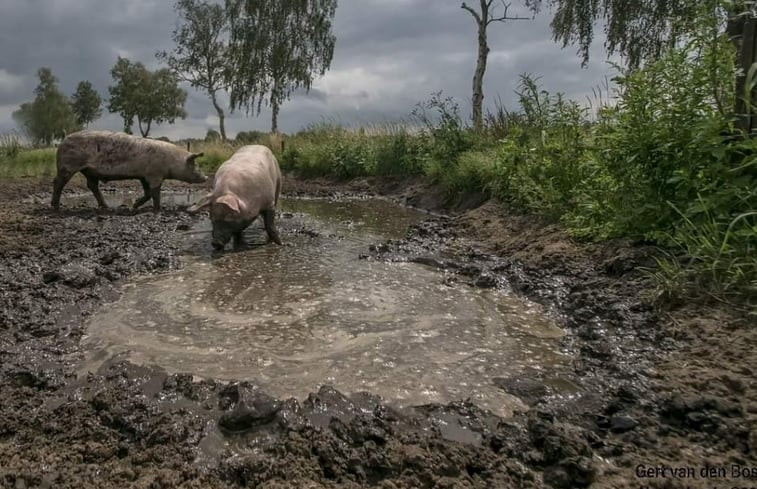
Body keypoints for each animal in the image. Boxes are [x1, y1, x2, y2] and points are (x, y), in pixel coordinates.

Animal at [51, 131, 207, 211]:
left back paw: (106, 207)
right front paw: (158, 209)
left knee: (92, 186)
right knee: (58, 182)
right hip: (68, 165)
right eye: (196, 164)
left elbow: (148, 193)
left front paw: (134, 206)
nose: (206, 177)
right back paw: (55, 206)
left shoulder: (144, 176)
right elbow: (155, 193)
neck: (173, 161)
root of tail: (63, 140)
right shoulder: (154, 175)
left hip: (89, 171)